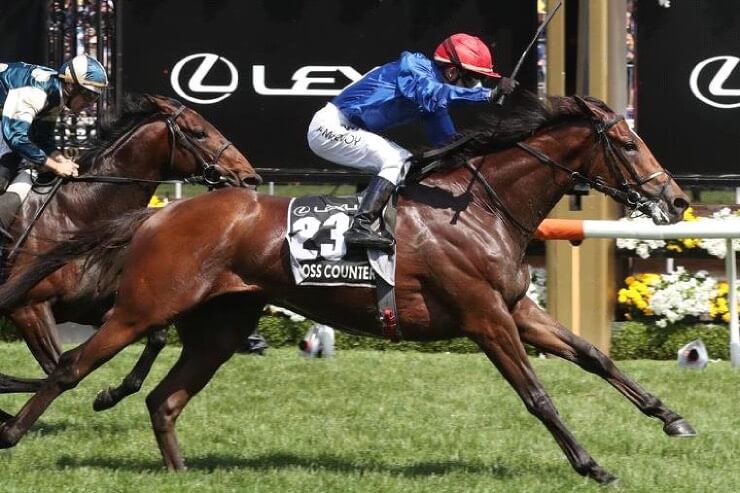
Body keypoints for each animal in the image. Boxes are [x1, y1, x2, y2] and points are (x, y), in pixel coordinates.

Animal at [0, 94, 262, 418]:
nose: (250, 178)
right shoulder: (27, 308)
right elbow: (53, 367)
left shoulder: (101, 307)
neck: (76, 212)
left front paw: (110, 395)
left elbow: (157, 337)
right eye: (200, 132)